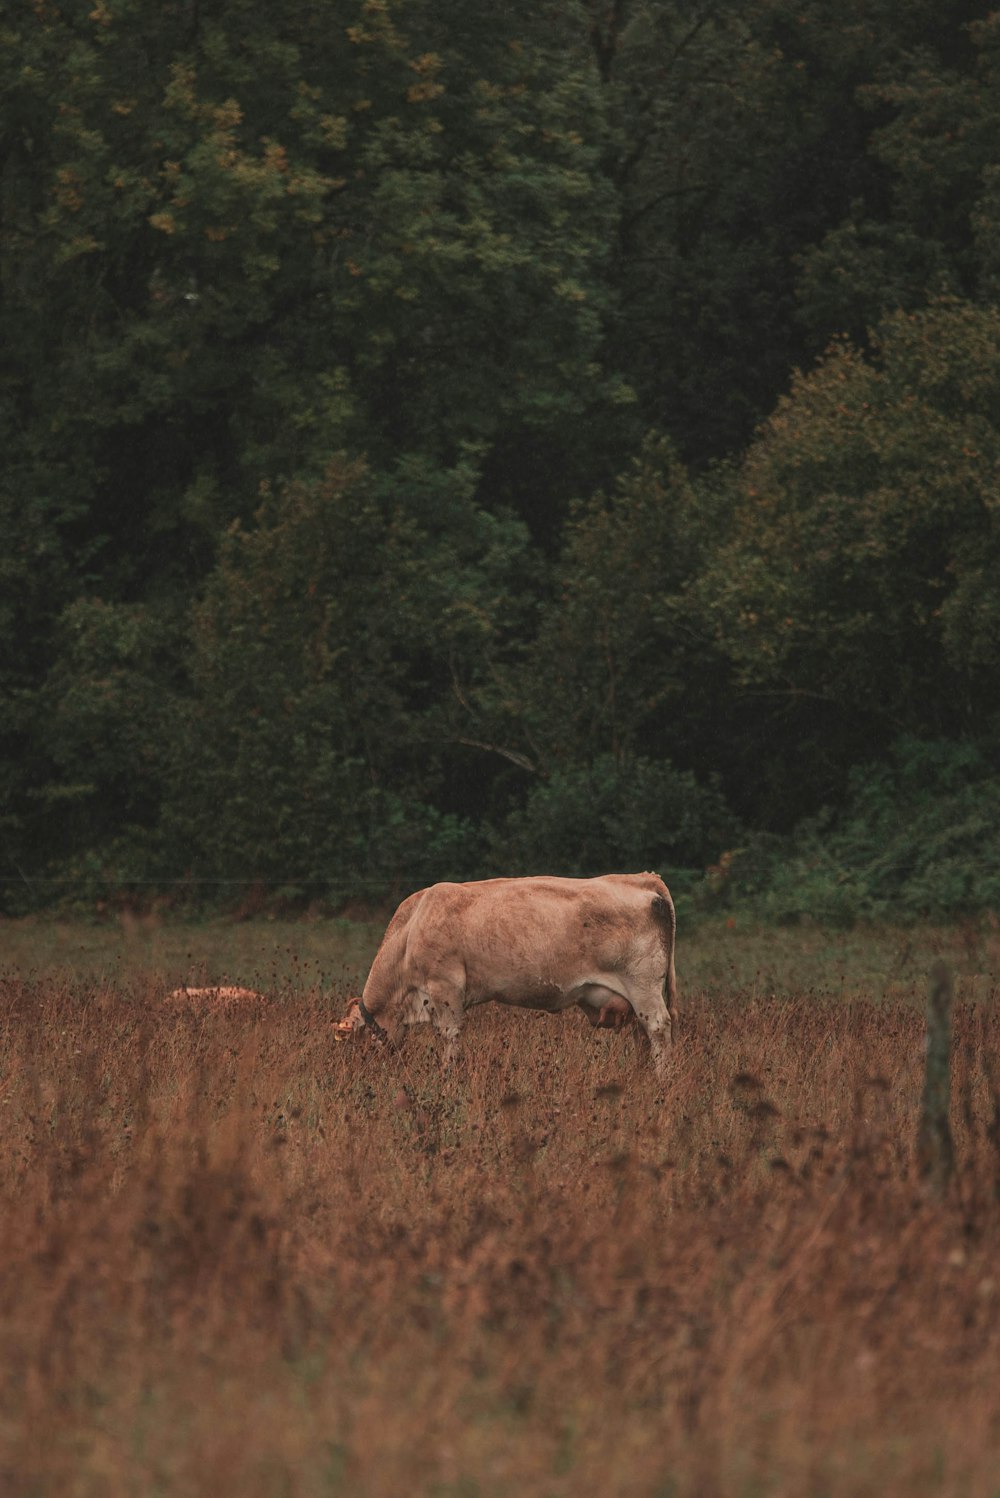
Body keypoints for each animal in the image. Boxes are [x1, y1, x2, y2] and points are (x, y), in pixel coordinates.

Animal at [332, 874, 676, 1078]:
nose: (357, 1073)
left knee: (658, 1028)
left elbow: (449, 1035)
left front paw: (447, 1075)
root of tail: (643, 879)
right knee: (641, 1034)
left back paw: (660, 1079)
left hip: (643, 986)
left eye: (353, 1043)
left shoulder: (445, 987)